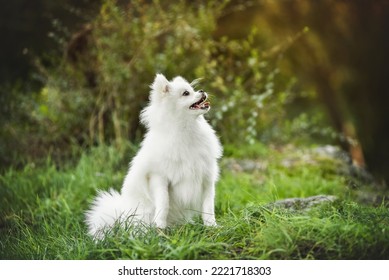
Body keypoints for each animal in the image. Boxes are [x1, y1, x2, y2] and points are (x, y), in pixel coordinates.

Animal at [86, 73, 223, 237]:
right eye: (186, 93)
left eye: (193, 89)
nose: (202, 91)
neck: (186, 130)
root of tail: (122, 215)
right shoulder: (159, 177)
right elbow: (164, 202)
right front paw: (160, 226)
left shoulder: (206, 178)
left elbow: (208, 206)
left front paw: (212, 227)